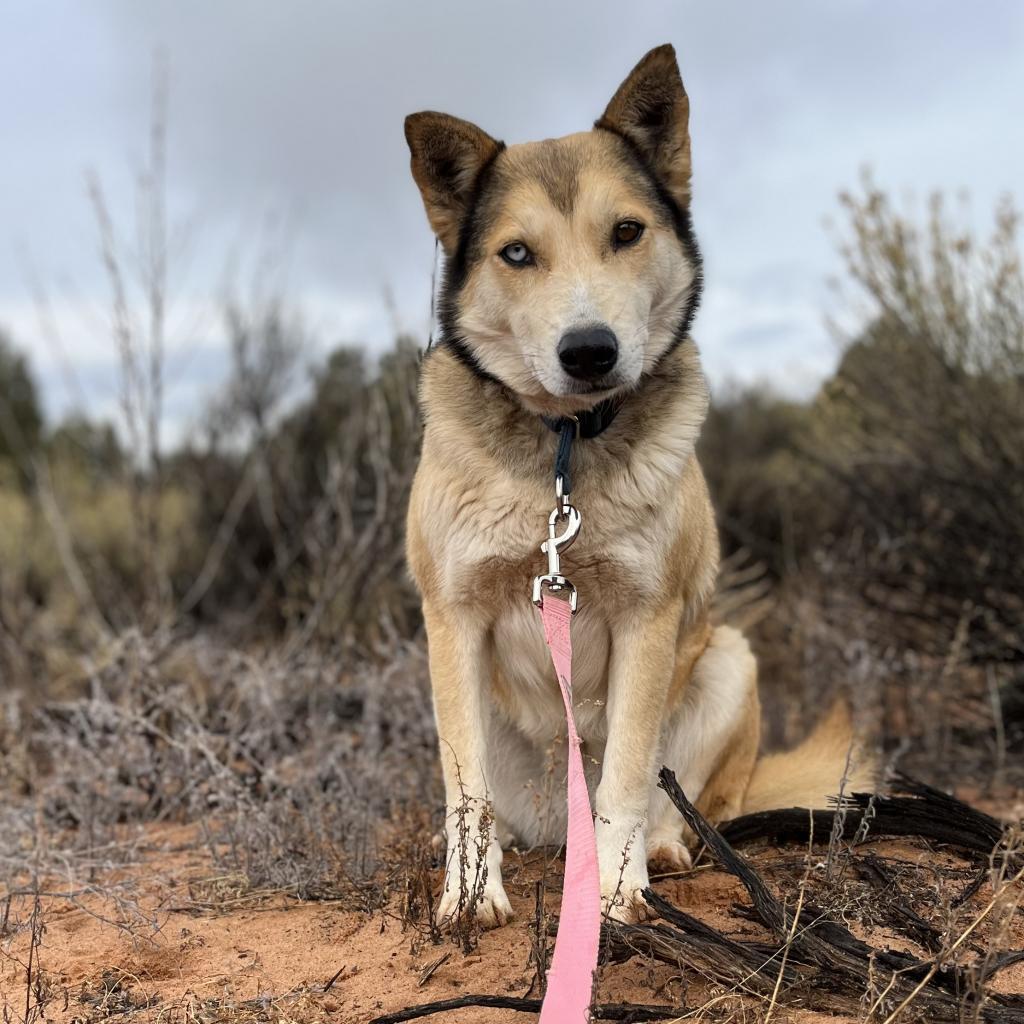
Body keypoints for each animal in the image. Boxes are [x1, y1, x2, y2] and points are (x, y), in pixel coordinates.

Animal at [399, 41, 872, 929]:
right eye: (517, 253)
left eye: (626, 232)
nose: (590, 350)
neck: (562, 454)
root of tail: (557, 827)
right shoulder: (454, 618)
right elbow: (464, 786)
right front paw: (470, 892)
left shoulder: (647, 620)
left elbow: (623, 775)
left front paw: (615, 894)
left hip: (729, 659)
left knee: (671, 800)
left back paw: (660, 849)